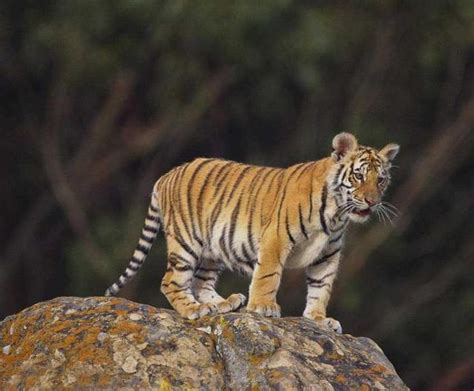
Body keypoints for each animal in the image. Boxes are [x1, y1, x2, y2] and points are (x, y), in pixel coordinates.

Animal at [105, 133, 398, 332]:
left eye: (380, 180)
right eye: (359, 176)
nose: (372, 201)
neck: (336, 214)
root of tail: (167, 175)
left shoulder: (327, 253)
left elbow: (321, 286)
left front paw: (318, 319)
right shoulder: (276, 239)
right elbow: (268, 274)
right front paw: (263, 307)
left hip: (213, 248)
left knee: (200, 281)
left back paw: (224, 303)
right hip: (186, 241)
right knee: (172, 281)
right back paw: (195, 309)